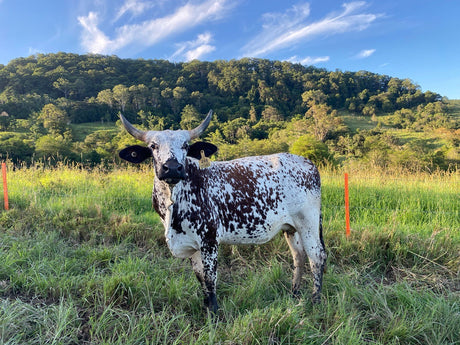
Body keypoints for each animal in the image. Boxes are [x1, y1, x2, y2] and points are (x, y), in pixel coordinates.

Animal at [118, 110, 328, 312]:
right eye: (153, 146)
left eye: (185, 145)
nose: (172, 168)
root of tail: (307, 162)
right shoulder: (192, 245)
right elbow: (201, 278)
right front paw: (205, 307)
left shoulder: (209, 241)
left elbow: (210, 280)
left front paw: (214, 312)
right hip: (290, 227)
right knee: (298, 256)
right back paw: (294, 293)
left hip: (308, 223)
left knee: (316, 257)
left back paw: (316, 300)